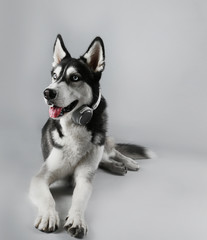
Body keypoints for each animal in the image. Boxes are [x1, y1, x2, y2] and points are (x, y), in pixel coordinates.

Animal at [29, 35, 152, 238]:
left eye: (75, 78)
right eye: (54, 76)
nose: (47, 92)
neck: (74, 127)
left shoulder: (84, 177)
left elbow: (79, 198)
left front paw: (77, 220)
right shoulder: (40, 177)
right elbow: (48, 198)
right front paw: (48, 216)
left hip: (101, 141)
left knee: (112, 151)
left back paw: (127, 162)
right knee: (104, 160)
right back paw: (117, 166)